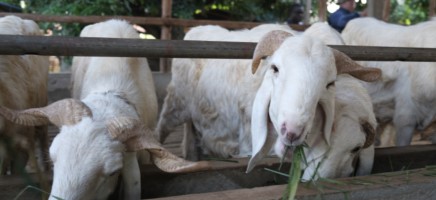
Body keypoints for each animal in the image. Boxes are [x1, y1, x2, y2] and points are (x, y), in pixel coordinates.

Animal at [157, 23, 378, 178]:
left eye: (330, 83)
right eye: (275, 68)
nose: (291, 131)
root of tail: (197, 29)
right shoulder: (246, 142)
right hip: (177, 102)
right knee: (163, 126)